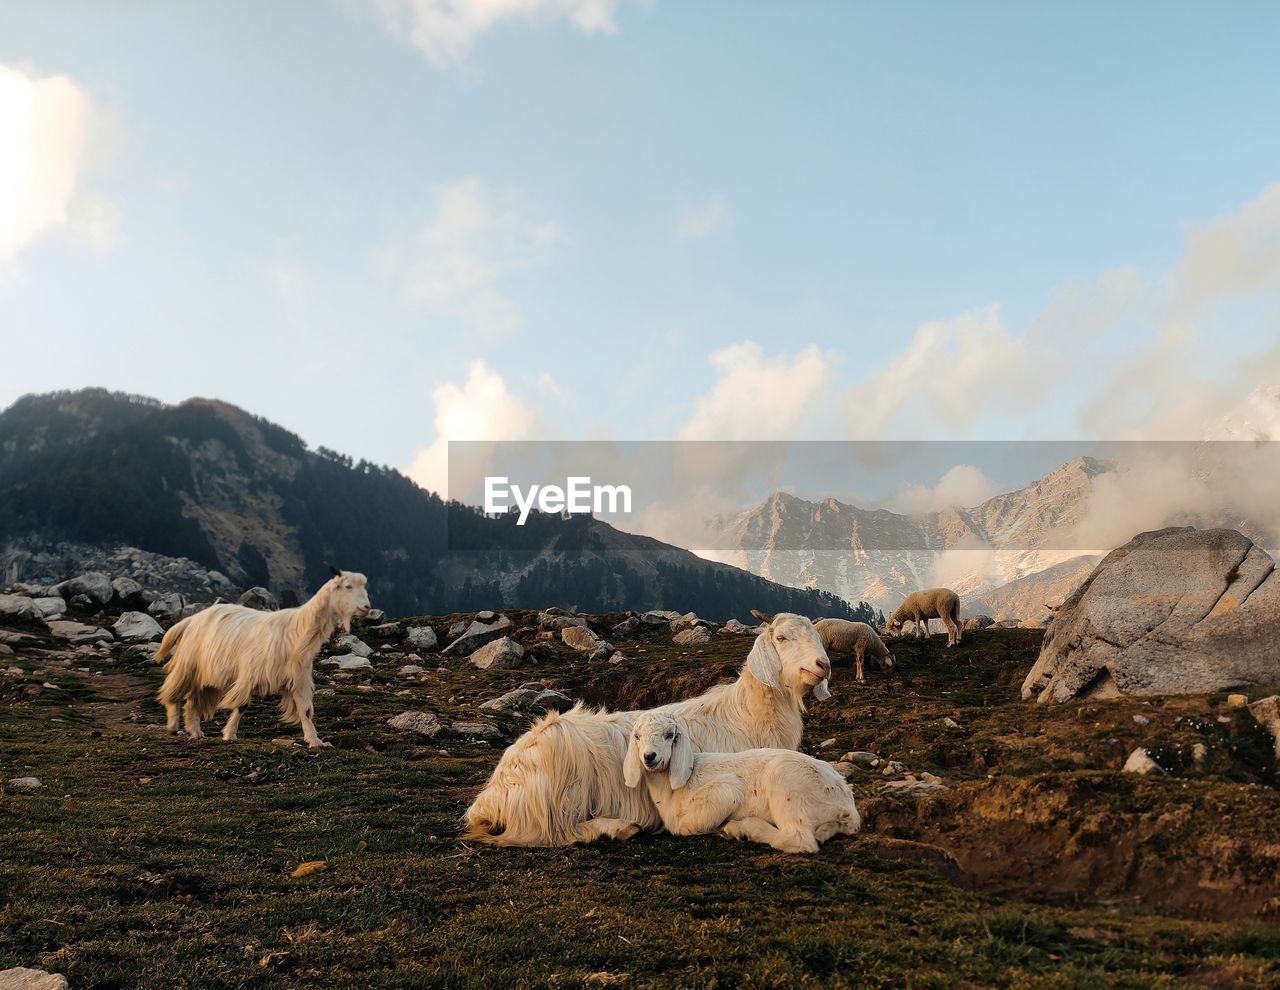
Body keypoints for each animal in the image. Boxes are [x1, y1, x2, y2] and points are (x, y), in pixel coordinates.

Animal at [155, 563, 373, 747]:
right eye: (348, 586)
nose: (366, 608)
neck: (296, 632)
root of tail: (193, 619)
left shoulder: (299, 678)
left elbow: (306, 711)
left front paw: (315, 741)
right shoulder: (251, 673)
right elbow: (242, 705)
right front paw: (230, 734)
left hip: (208, 676)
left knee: (192, 701)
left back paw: (195, 731)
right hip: (188, 665)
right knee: (174, 693)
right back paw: (173, 725)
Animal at [465, 607, 834, 845]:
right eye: (782, 637)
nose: (823, 665)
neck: (748, 714)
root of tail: (490, 795)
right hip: (561, 785)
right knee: (560, 832)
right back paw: (617, 828)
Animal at [627, 712, 865, 850]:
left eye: (670, 735)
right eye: (637, 736)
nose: (649, 757)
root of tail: (847, 804)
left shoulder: (724, 791)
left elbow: (686, 826)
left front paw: (722, 828)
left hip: (785, 782)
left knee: (798, 839)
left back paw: (742, 828)